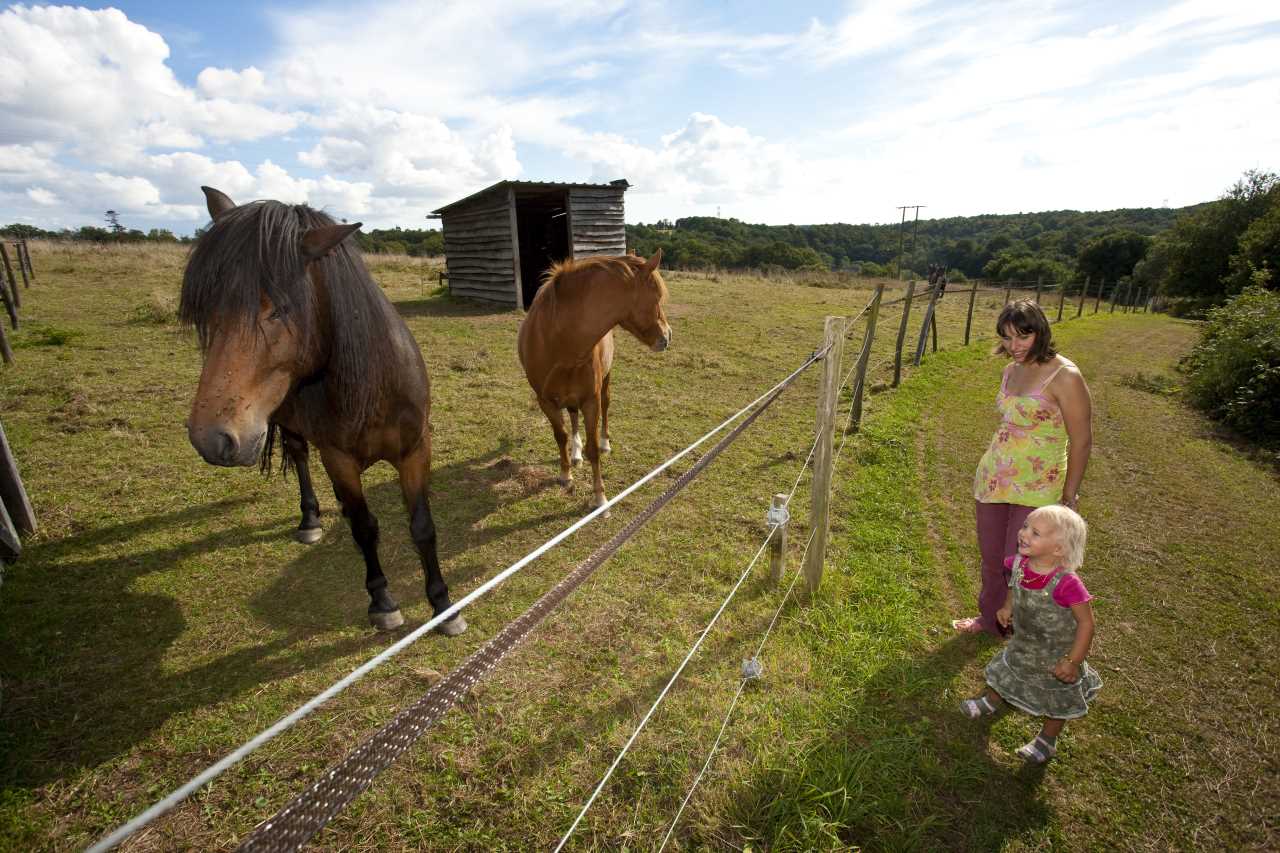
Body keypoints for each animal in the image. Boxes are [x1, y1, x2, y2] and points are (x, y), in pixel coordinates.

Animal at [177, 188, 463, 637]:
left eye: (279, 308)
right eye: (205, 308)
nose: (210, 438)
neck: (372, 388)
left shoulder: (416, 449)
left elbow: (422, 527)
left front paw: (444, 606)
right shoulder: (339, 459)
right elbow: (364, 527)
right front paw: (383, 602)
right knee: (299, 458)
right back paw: (310, 520)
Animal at [514, 249, 670, 507]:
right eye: (657, 296)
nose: (667, 337)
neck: (561, 339)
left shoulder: (591, 400)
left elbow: (593, 448)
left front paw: (601, 499)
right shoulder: (546, 401)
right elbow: (561, 436)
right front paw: (566, 474)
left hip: (604, 383)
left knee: (606, 406)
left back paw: (606, 443)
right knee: (572, 416)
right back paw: (575, 454)